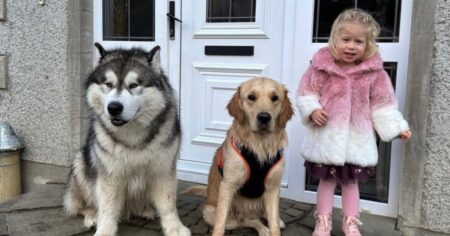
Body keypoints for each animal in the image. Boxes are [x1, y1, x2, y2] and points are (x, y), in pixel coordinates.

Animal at [63, 42, 190, 236]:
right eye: (108, 84)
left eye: (134, 85)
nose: (114, 108)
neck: (132, 134)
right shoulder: (110, 175)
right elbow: (107, 207)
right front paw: (104, 230)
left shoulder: (163, 170)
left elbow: (168, 204)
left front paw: (174, 227)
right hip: (81, 162)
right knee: (82, 205)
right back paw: (92, 215)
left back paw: (145, 210)